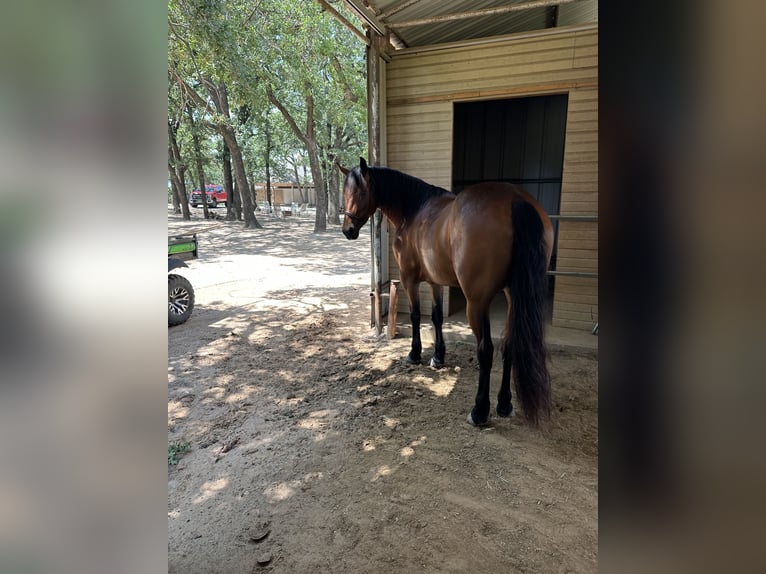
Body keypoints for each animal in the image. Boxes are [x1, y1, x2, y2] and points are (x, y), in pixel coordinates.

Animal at [340, 157, 554, 427]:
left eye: (359, 192)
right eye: (344, 192)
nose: (347, 230)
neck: (413, 210)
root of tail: (515, 200)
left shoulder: (409, 279)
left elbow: (416, 317)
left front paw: (414, 354)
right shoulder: (435, 282)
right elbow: (437, 317)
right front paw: (438, 357)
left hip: (477, 302)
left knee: (486, 350)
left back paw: (479, 410)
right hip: (512, 296)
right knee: (509, 344)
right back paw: (504, 403)